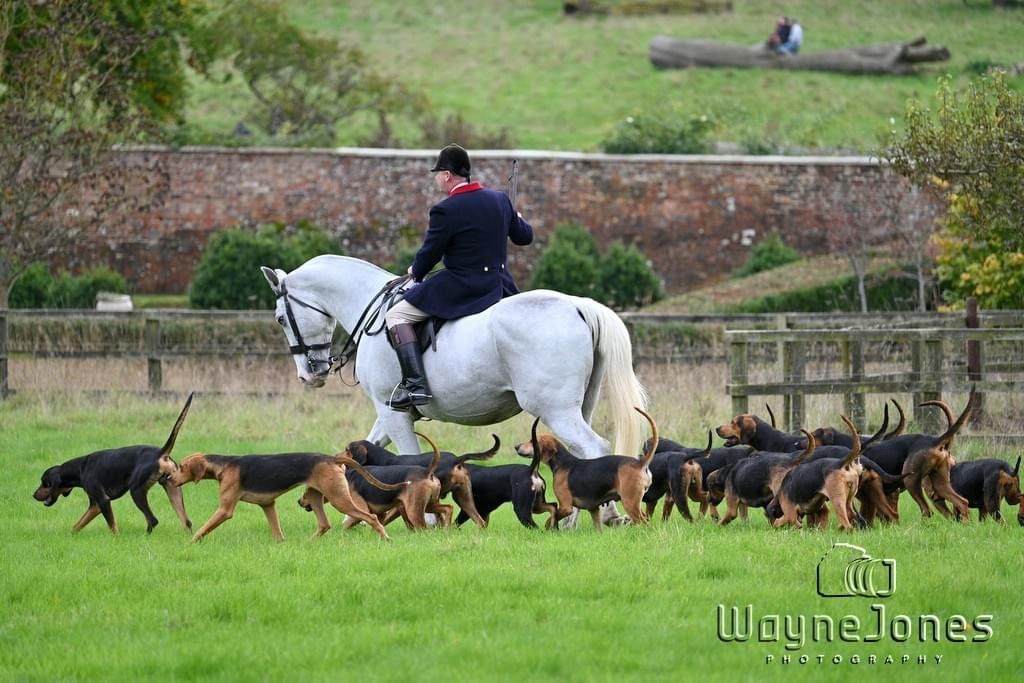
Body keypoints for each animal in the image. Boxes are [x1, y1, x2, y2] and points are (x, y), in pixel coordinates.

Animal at [260, 254, 643, 458]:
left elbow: (410, 460)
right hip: (579, 406)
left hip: (555, 410)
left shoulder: (391, 410)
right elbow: (366, 448)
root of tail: (577, 305)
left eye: (280, 318)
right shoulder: (389, 412)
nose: (309, 376)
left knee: (592, 447)